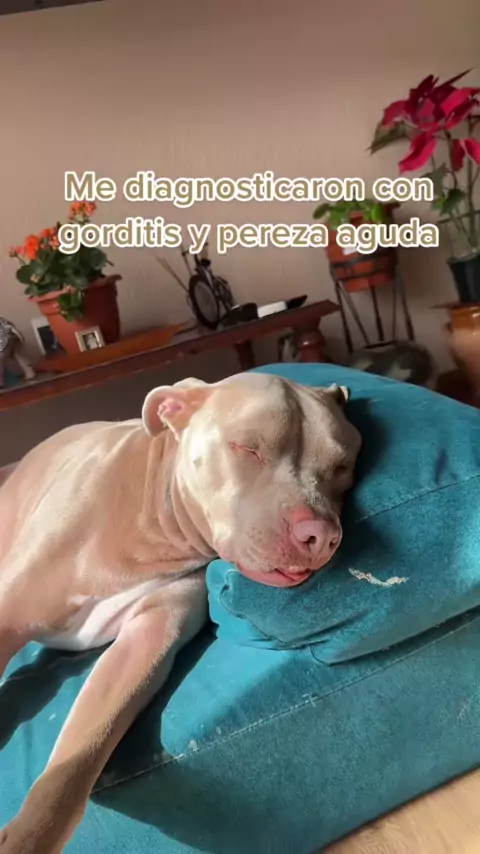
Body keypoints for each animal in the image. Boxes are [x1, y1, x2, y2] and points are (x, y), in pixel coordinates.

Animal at [0, 371, 361, 854]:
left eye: (342, 467)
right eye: (248, 448)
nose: (320, 536)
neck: (155, 516)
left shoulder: (147, 640)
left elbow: (77, 760)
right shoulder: (9, 613)